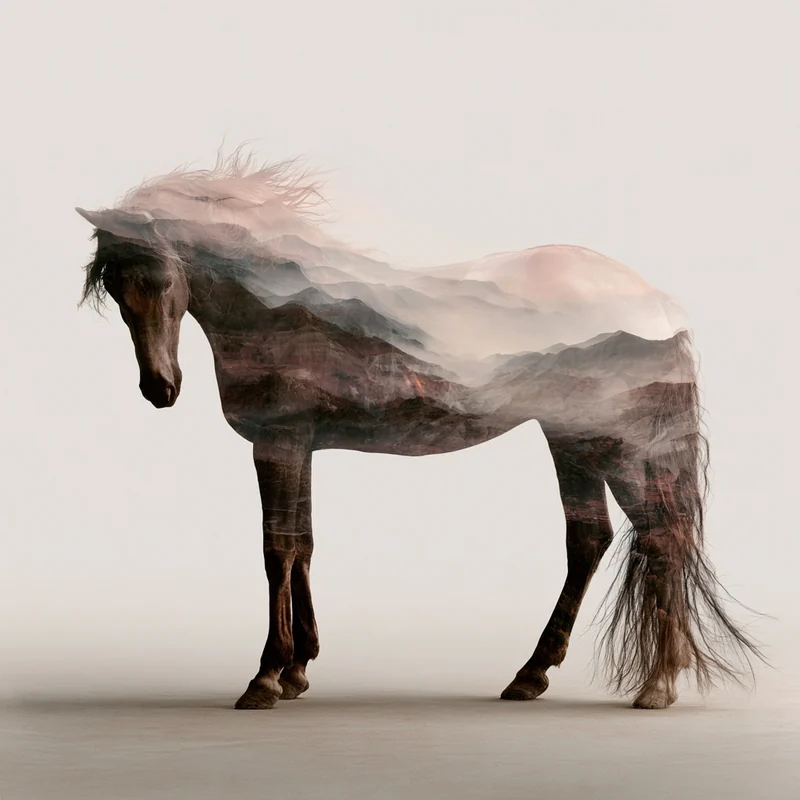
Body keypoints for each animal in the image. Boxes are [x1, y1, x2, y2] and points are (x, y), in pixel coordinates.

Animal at [76, 151, 761, 711]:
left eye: (164, 278)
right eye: (113, 287)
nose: (160, 389)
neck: (280, 311)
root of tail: (654, 301)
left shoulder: (278, 442)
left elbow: (278, 550)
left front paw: (266, 679)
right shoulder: (300, 446)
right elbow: (306, 545)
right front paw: (299, 670)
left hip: (613, 444)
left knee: (660, 538)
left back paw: (656, 687)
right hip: (572, 440)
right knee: (592, 539)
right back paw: (532, 676)